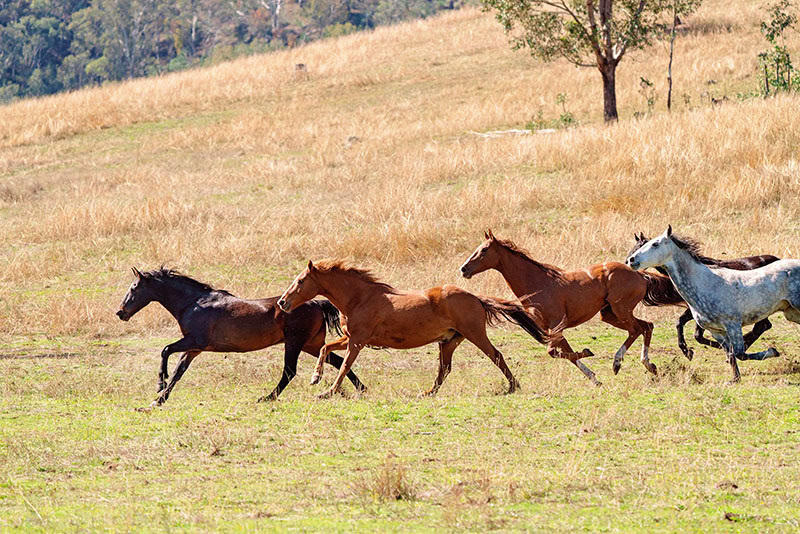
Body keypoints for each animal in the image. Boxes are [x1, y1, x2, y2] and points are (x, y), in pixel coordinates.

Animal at [116, 267, 366, 408]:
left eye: (134, 287)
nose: (120, 312)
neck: (194, 303)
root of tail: (315, 302)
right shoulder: (193, 349)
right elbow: (179, 372)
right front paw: (158, 400)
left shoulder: (194, 341)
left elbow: (166, 350)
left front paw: (160, 384)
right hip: (311, 345)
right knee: (336, 360)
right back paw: (358, 389)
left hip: (295, 343)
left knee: (290, 372)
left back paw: (267, 398)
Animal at [276, 260, 550, 398]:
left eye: (301, 281)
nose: (282, 302)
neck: (359, 298)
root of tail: (474, 297)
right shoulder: (351, 338)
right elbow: (325, 348)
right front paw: (315, 378)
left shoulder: (358, 341)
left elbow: (344, 366)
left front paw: (328, 392)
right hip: (448, 341)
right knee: (445, 368)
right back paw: (427, 393)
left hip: (474, 334)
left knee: (496, 356)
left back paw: (513, 387)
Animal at [459, 230, 675, 384]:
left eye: (484, 250)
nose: (463, 269)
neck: (538, 283)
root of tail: (640, 274)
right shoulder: (552, 329)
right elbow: (565, 353)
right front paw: (594, 378)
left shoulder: (557, 325)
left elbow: (554, 352)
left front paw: (588, 353)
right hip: (609, 315)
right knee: (646, 326)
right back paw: (645, 365)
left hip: (621, 310)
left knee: (638, 329)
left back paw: (621, 363)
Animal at [625, 226, 794, 382]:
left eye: (647, 245)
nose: (628, 261)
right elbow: (688, 329)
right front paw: (690, 351)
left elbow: (693, 332)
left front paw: (689, 351)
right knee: (763, 326)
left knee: (762, 326)